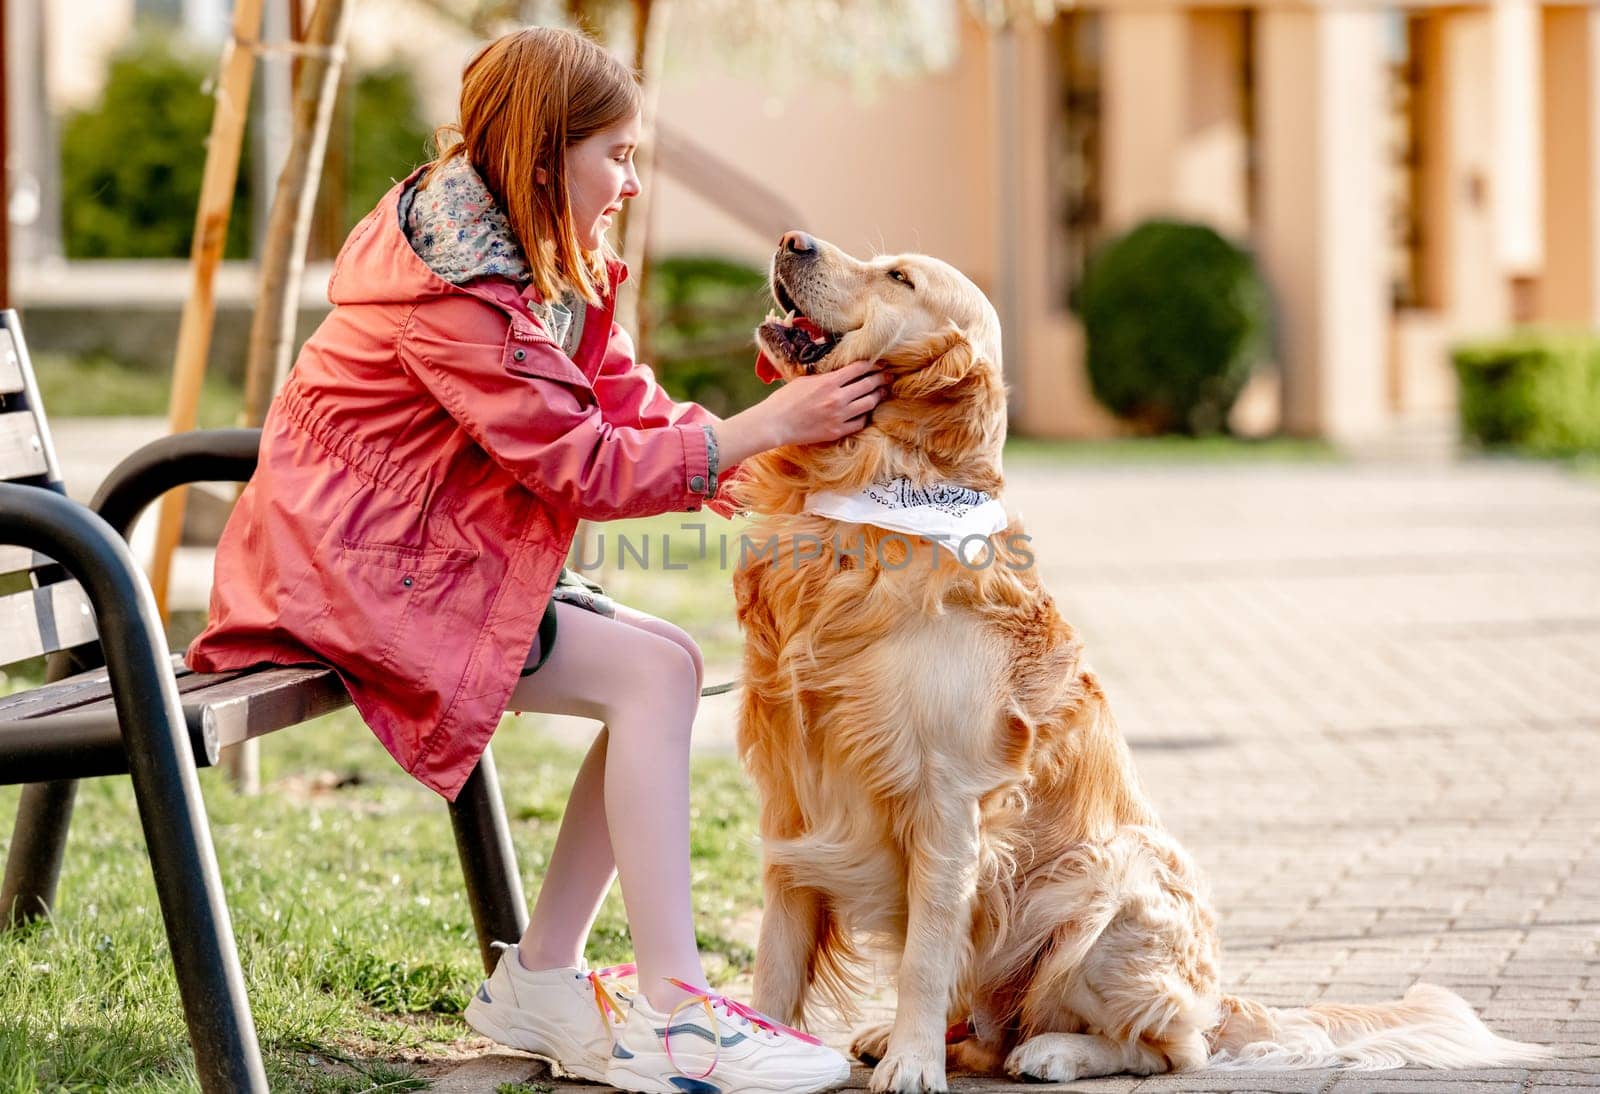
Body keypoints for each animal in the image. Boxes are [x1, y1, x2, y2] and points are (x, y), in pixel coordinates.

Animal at [729, 228, 1548, 1087]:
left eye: (898, 278)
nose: (792, 239)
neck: (867, 501)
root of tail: (1219, 1000)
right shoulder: (795, 802)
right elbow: (776, 955)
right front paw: (763, 1051)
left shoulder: (949, 797)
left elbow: (925, 953)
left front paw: (913, 1066)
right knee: (995, 1028)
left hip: (1106, 878)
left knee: (1166, 1044)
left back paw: (1051, 1049)